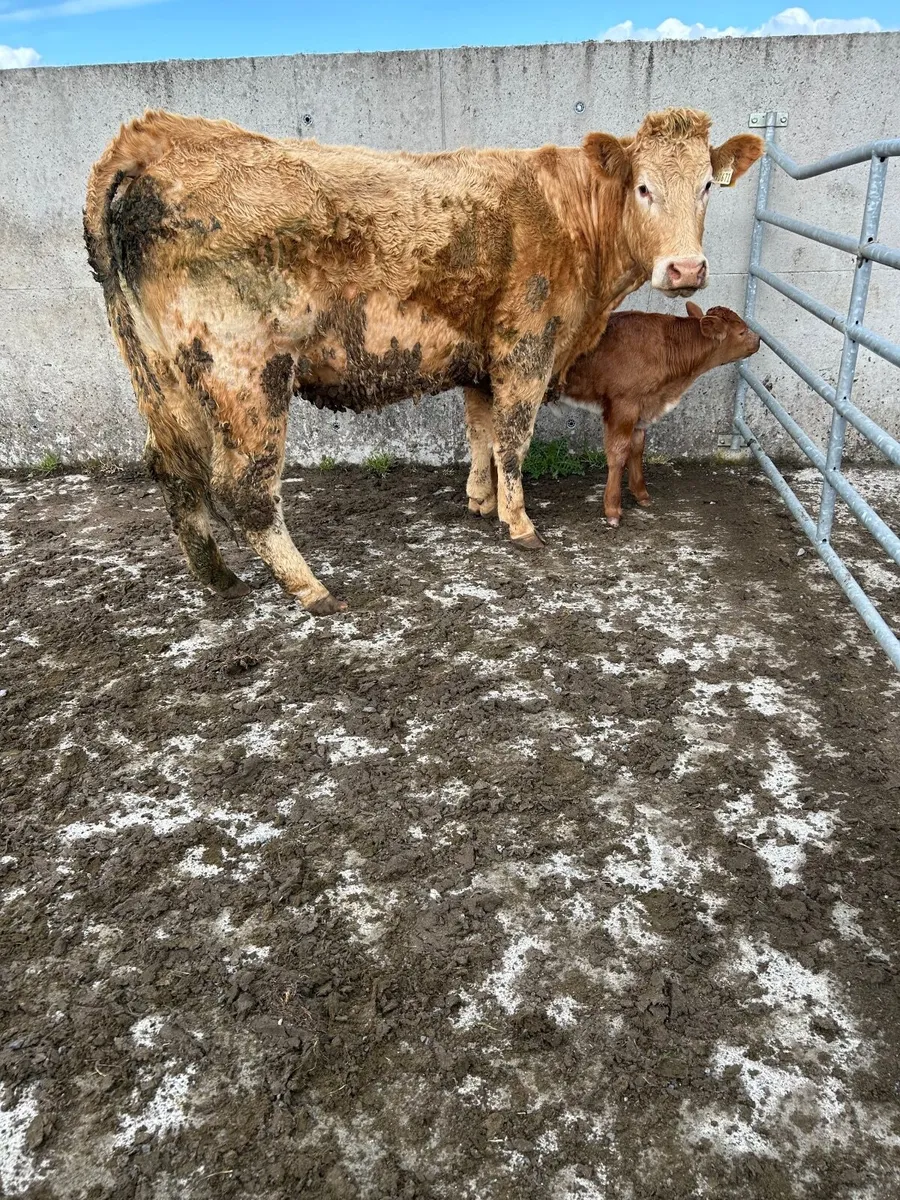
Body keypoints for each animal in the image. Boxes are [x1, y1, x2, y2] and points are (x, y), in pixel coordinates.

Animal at [467, 303, 759, 527]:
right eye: (742, 331)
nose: (758, 340)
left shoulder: (642, 408)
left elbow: (637, 449)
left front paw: (641, 494)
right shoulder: (623, 405)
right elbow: (618, 453)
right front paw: (613, 509)